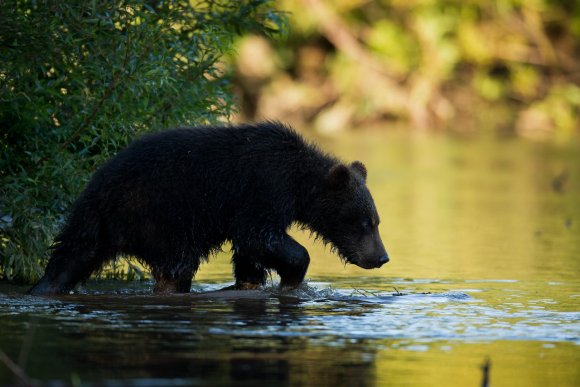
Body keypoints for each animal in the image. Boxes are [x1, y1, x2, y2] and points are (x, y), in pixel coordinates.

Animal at [28, 123, 390, 296]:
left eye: (376, 221)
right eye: (364, 223)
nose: (381, 257)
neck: (297, 183)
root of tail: (97, 193)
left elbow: (250, 250)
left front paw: (251, 279)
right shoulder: (261, 188)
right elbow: (259, 236)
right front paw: (292, 275)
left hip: (94, 227)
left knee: (72, 256)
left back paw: (46, 286)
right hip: (158, 216)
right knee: (178, 265)